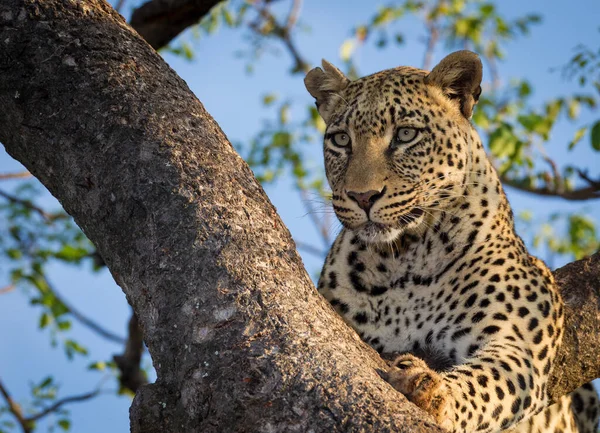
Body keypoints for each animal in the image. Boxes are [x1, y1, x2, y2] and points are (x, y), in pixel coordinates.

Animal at [308, 50, 596, 432]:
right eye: (341, 140)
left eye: (406, 135)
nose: (362, 196)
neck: (404, 258)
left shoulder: (517, 345)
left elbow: (489, 381)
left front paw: (430, 389)